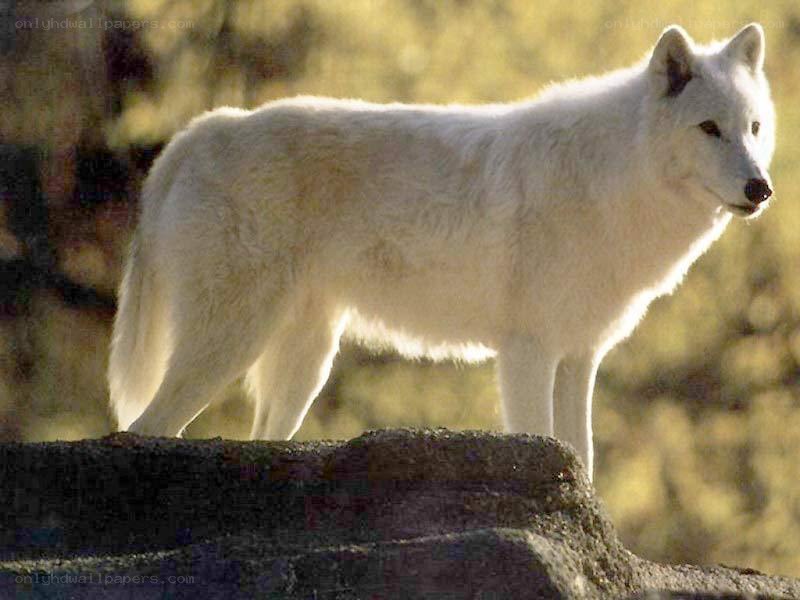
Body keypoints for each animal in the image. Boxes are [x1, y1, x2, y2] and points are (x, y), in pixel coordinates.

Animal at [109, 24, 774, 478]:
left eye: (754, 128)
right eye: (709, 129)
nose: (760, 189)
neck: (611, 178)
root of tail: (205, 128)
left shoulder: (579, 357)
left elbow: (582, 460)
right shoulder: (528, 352)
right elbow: (545, 441)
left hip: (304, 365)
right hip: (229, 345)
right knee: (141, 428)